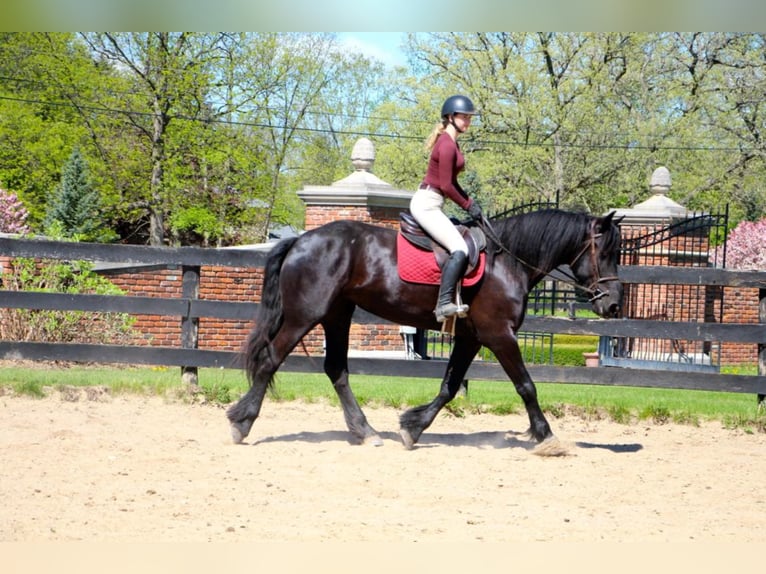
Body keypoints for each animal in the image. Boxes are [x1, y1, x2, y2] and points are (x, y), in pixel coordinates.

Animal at [226, 209, 624, 452]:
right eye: (605, 254)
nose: (613, 305)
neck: (507, 262)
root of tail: (301, 239)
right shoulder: (499, 335)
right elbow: (526, 386)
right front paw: (546, 436)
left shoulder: (470, 338)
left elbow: (449, 387)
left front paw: (413, 426)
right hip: (304, 316)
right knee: (271, 360)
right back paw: (242, 423)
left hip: (337, 315)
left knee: (336, 369)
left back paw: (366, 432)